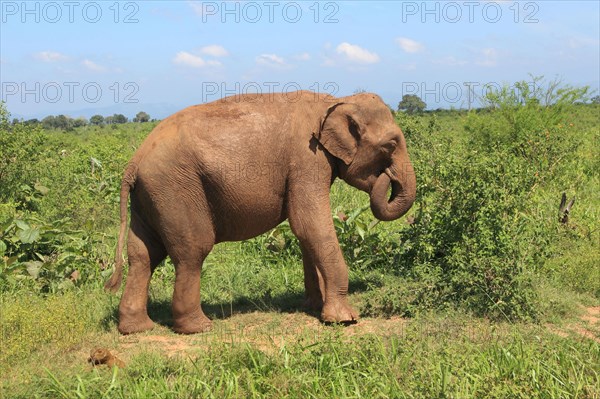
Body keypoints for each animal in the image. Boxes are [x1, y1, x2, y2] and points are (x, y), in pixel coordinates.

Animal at [105, 90, 414, 334]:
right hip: (176, 190)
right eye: (390, 145)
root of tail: (134, 162)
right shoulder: (307, 160)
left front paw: (313, 306)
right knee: (191, 251)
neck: (335, 101)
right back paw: (199, 328)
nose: (387, 177)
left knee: (143, 254)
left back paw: (136, 329)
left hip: (150, 197)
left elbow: (304, 231)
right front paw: (344, 320)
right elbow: (310, 224)